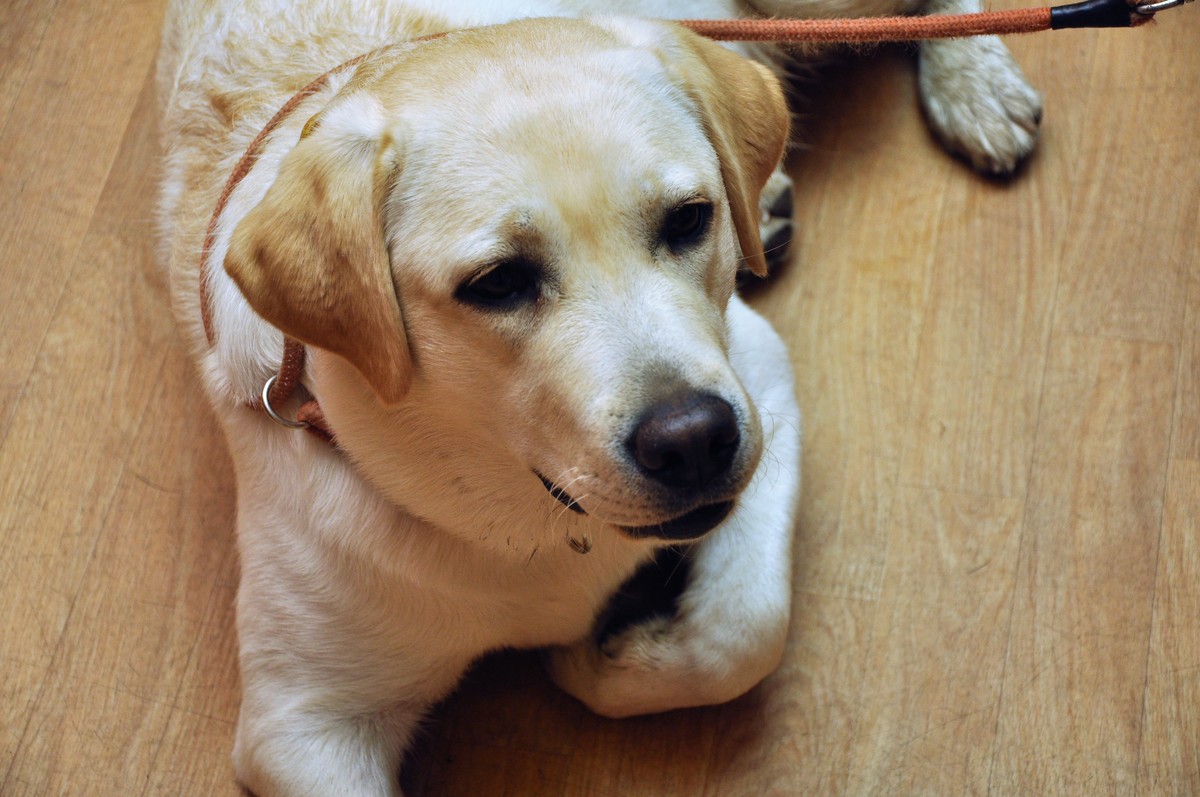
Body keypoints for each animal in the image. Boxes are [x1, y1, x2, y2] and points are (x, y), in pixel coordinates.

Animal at [156, 1, 1040, 794]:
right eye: (498, 282)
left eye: (690, 218)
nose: (695, 439)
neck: (531, 524)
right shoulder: (300, 725)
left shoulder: (761, 379)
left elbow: (743, 630)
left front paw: (602, 659)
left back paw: (976, 85)